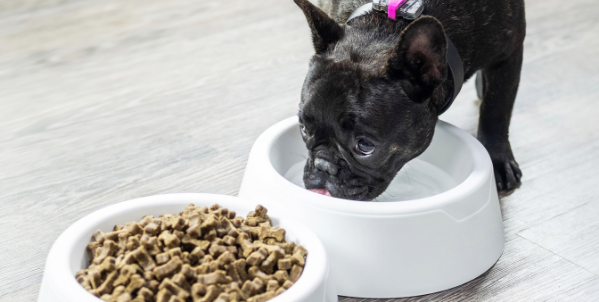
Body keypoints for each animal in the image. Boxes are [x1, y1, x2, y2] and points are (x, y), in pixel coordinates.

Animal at [296, 0, 524, 201]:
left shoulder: (508, 55)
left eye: (365, 146)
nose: (323, 166)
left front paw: (497, 161)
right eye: (303, 128)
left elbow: (496, 109)